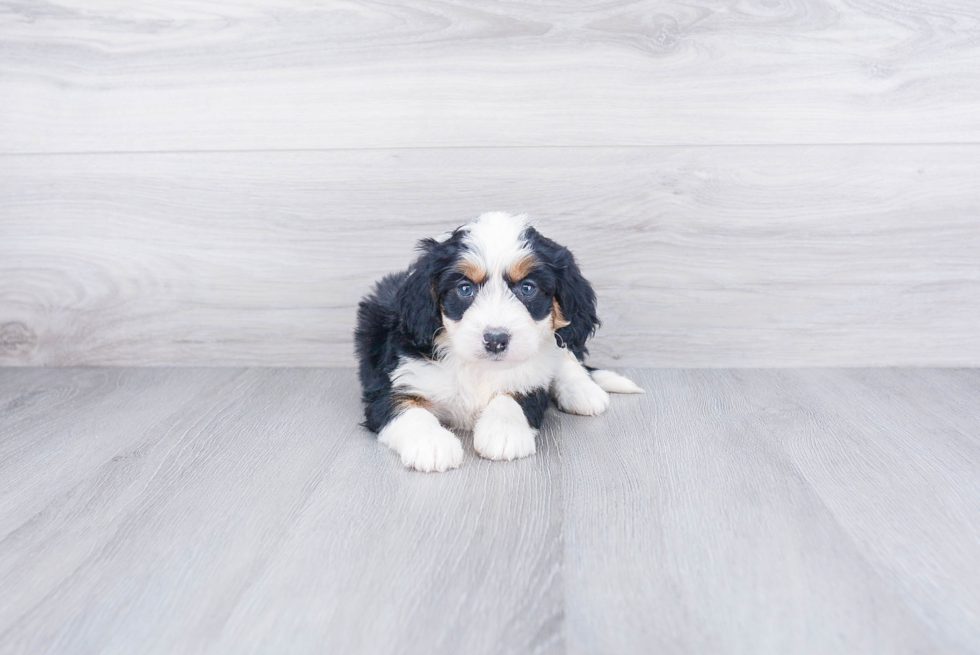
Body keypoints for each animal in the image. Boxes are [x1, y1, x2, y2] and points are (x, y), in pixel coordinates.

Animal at [352, 213, 644, 474]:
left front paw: (504, 432)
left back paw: (582, 390)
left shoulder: (531, 380)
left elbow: (512, 397)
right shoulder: (393, 382)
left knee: (565, 354)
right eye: (465, 289)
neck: (478, 367)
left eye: (527, 288)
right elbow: (407, 409)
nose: (495, 340)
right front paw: (432, 444)